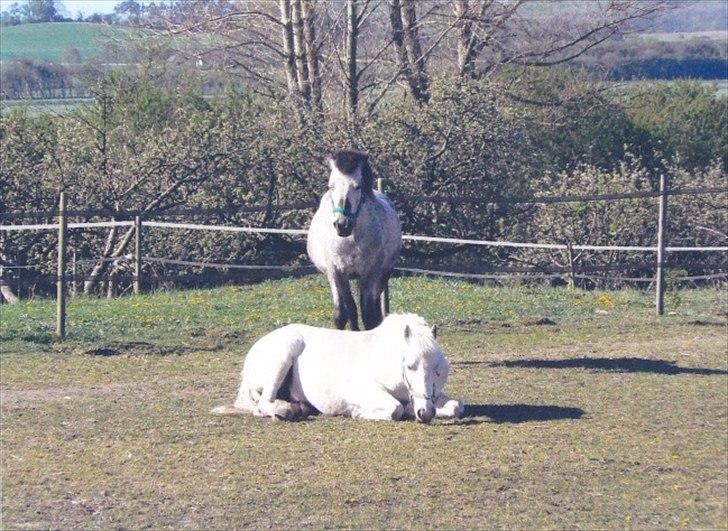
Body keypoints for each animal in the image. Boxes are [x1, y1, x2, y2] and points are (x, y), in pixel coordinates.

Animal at [306, 151, 400, 332]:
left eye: (357, 186)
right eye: (331, 186)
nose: (342, 225)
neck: (349, 241)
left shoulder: (370, 274)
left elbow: (369, 316)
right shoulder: (335, 273)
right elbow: (343, 313)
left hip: (382, 276)